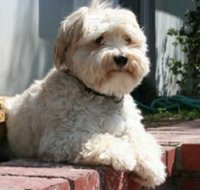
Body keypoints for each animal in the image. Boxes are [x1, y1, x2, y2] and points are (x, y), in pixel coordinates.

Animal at [5, 0, 166, 187]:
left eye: (128, 39)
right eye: (99, 39)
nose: (121, 58)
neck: (100, 95)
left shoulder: (132, 129)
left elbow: (143, 141)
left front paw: (152, 166)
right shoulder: (61, 138)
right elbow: (101, 140)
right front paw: (124, 154)